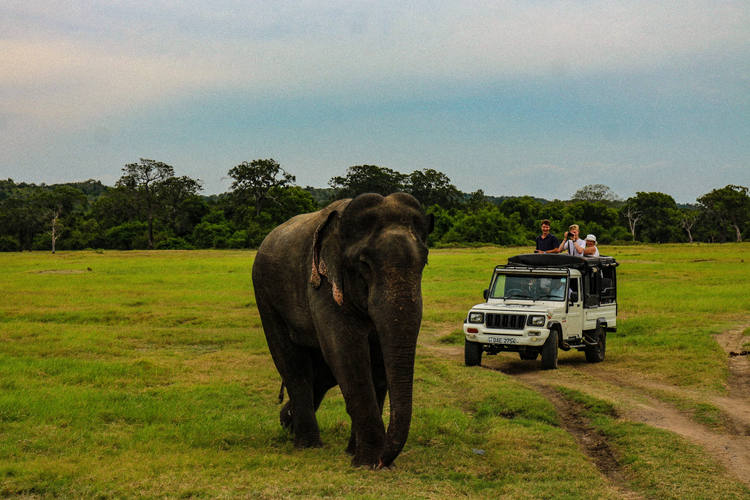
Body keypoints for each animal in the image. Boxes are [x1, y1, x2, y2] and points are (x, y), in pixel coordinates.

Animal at [253, 192, 434, 468]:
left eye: (424, 262)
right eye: (364, 264)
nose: (384, 460)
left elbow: (377, 360)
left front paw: (359, 455)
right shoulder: (323, 285)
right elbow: (346, 351)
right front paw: (368, 462)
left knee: (320, 373)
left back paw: (288, 422)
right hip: (265, 296)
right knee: (293, 365)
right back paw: (307, 444)